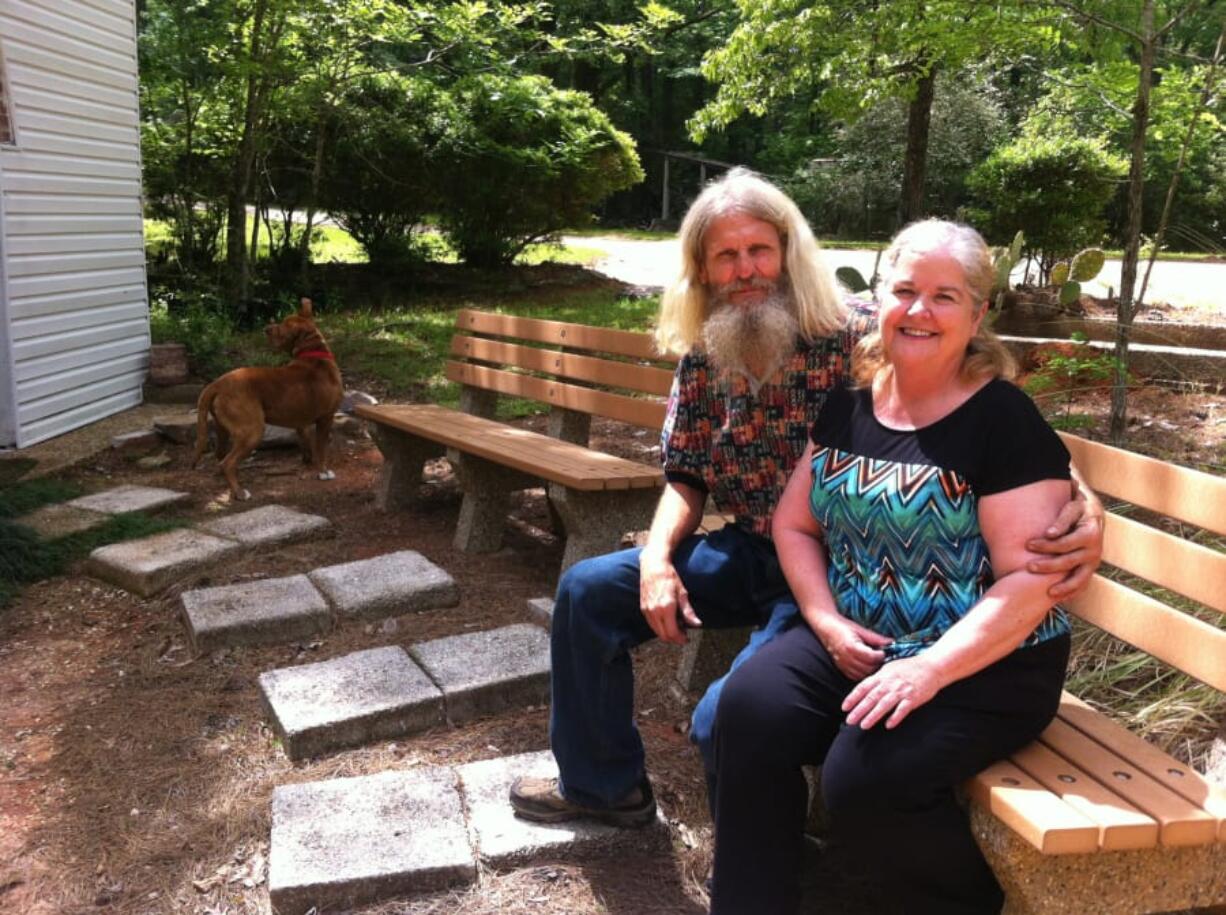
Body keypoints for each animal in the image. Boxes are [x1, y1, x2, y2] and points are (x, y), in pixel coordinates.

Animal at [191, 298, 345, 497]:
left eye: (281, 328)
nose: (266, 328)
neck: (313, 352)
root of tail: (217, 383)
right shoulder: (326, 418)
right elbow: (321, 449)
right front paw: (323, 472)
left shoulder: (301, 422)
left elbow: (307, 443)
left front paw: (308, 461)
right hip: (252, 430)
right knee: (228, 462)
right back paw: (240, 492)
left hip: (222, 428)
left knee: (220, 456)